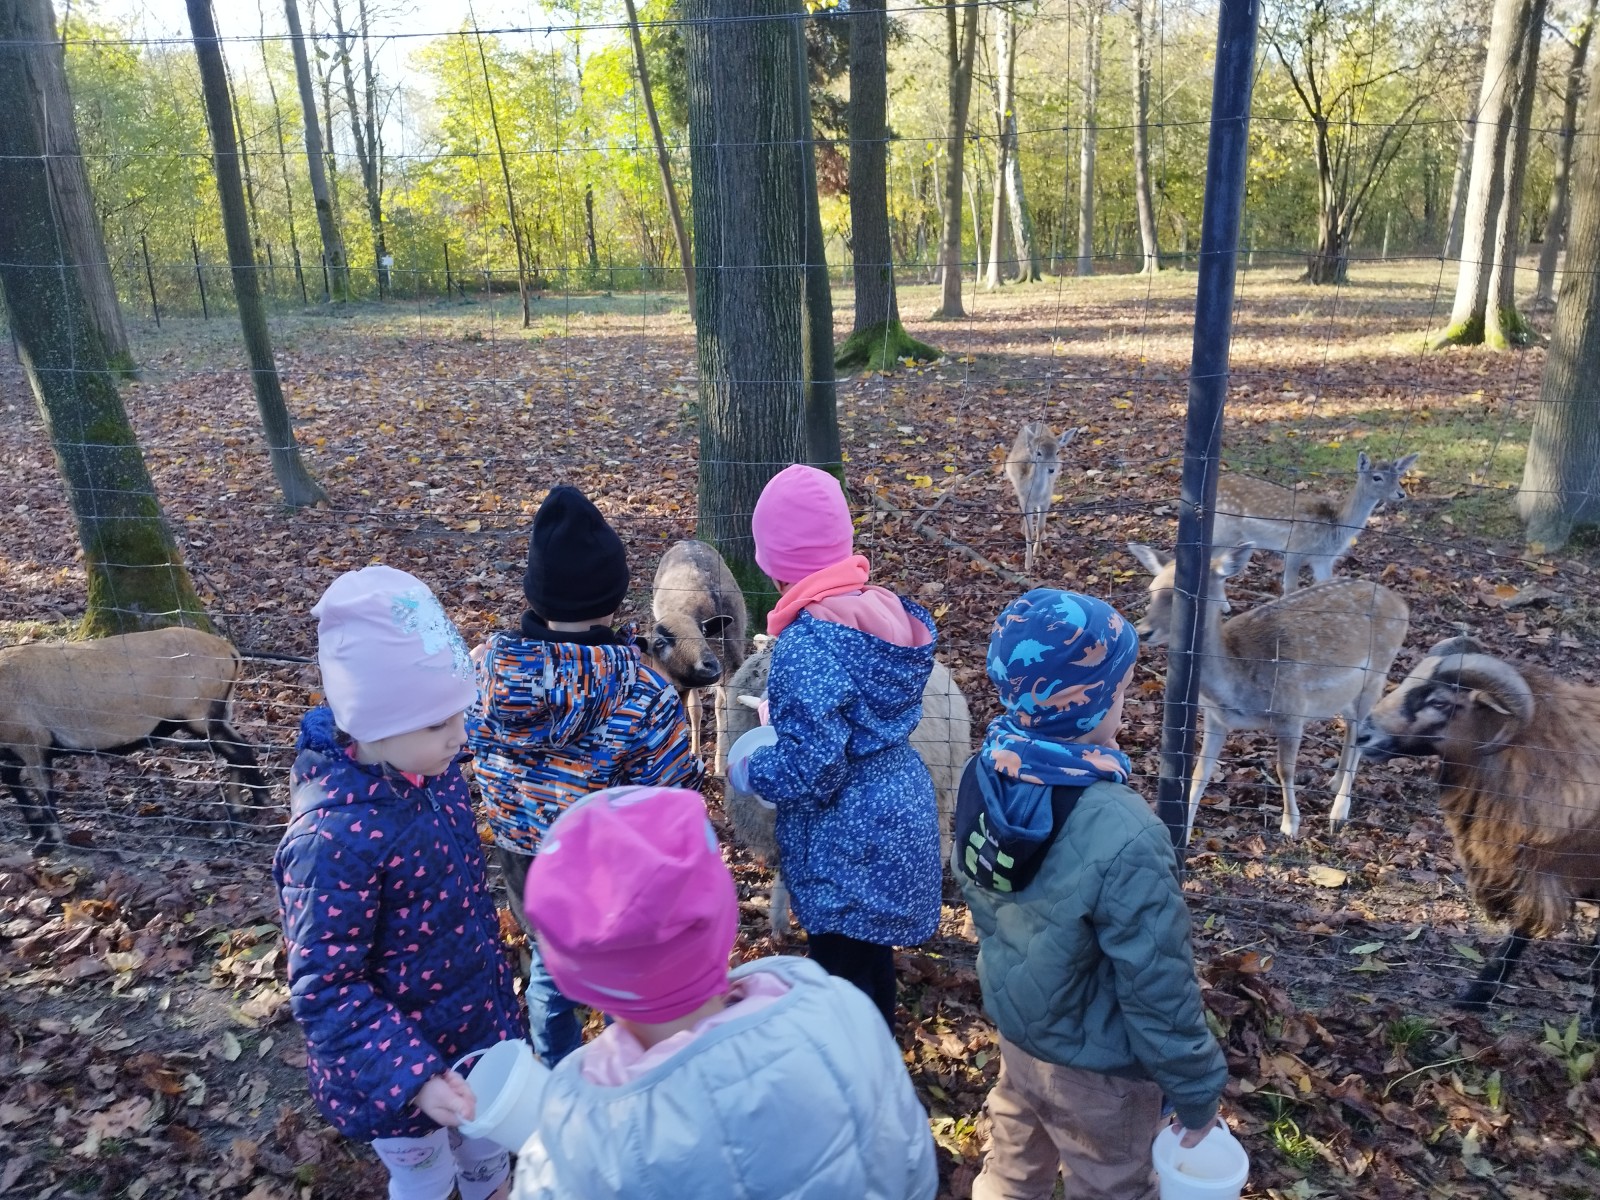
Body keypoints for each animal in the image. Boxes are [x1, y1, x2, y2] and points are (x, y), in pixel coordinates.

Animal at [1004, 422, 1079, 573]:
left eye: (1057, 452)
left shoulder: (1046, 500)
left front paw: (1037, 552)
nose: (1051, 469)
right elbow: (1029, 530)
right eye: (1039, 453)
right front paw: (1028, 563)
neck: (1036, 494)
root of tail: (1037, 423)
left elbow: (1040, 526)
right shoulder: (1025, 500)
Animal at [1127, 541, 1409, 841]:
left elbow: (1284, 769)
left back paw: (1338, 813)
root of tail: (1402, 605)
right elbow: (1199, 773)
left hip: (1377, 675)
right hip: (1345, 693)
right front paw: (1184, 832)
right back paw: (1334, 782)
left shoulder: (1292, 711)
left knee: (1361, 732)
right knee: (1351, 727)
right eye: (1152, 590)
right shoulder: (1215, 718)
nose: (1143, 631)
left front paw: (1290, 826)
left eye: (1187, 596)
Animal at [1211, 451, 1419, 592]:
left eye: (1398, 475)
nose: (1401, 494)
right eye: (1377, 477)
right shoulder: (1294, 548)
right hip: (1225, 531)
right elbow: (1290, 589)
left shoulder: (1324, 558)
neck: (1336, 524)